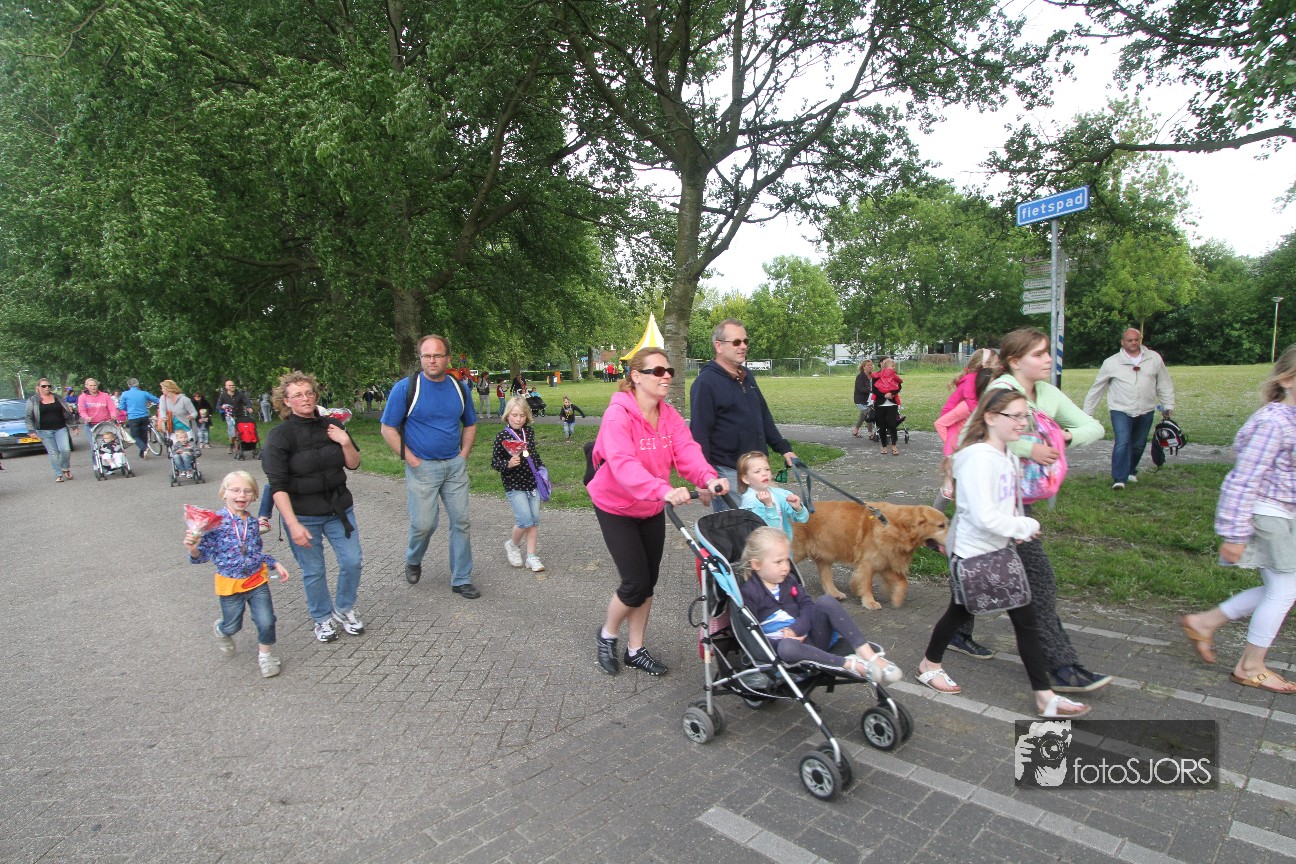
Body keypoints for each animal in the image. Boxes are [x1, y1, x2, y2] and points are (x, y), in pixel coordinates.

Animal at [792, 500, 948, 609]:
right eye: (941, 526)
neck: (895, 526)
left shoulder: (885, 562)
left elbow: (903, 581)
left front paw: (897, 599)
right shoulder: (868, 563)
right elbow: (867, 584)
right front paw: (869, 602)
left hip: (826, 553)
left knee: (826, 577)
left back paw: (835, 593)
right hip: (799, 551)